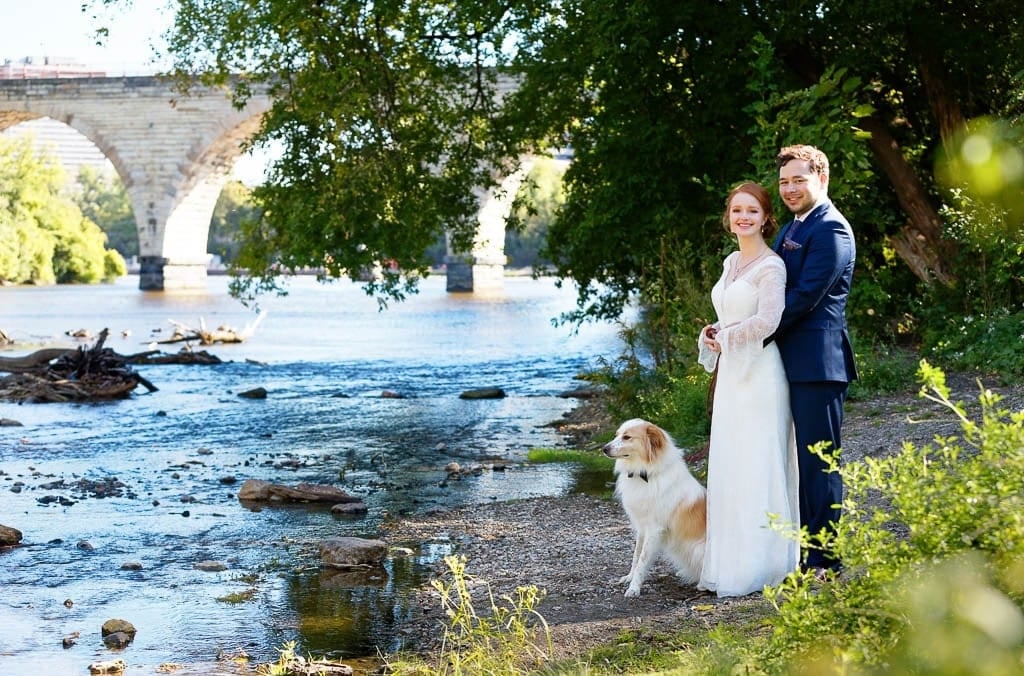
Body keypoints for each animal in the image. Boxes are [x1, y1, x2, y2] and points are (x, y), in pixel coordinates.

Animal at [602, 417, 708, 598]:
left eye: (627, 437)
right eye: (617, 434)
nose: (604, 449)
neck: (645, 475)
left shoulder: (654, 529)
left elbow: (643, 560)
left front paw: (634, 588)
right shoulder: (641, 527)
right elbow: (636, 555)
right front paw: (629, 578)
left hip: (698, 550)